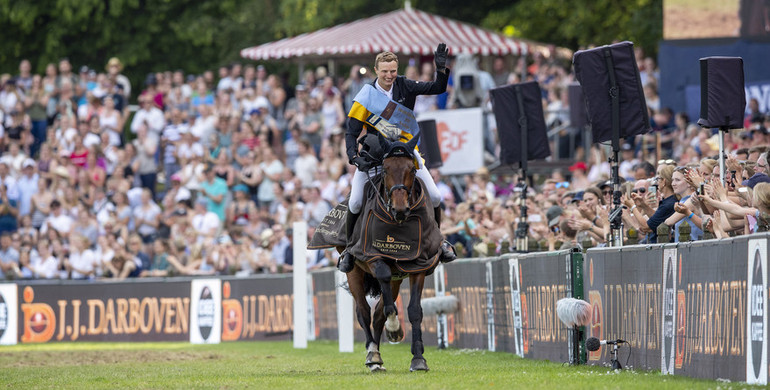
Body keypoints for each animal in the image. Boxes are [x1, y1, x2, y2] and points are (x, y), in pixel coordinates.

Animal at [342, 133, 432, 374]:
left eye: (412, 170)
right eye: (386, 169)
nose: (400, 210)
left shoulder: (419, 265)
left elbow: (414, 310)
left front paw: (418, 358)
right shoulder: (372, 257)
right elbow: (382, 281)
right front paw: (394, 328)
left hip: (396, 279)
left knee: (378, 313)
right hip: (354, 272)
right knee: (364, 312)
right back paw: (373, 356)